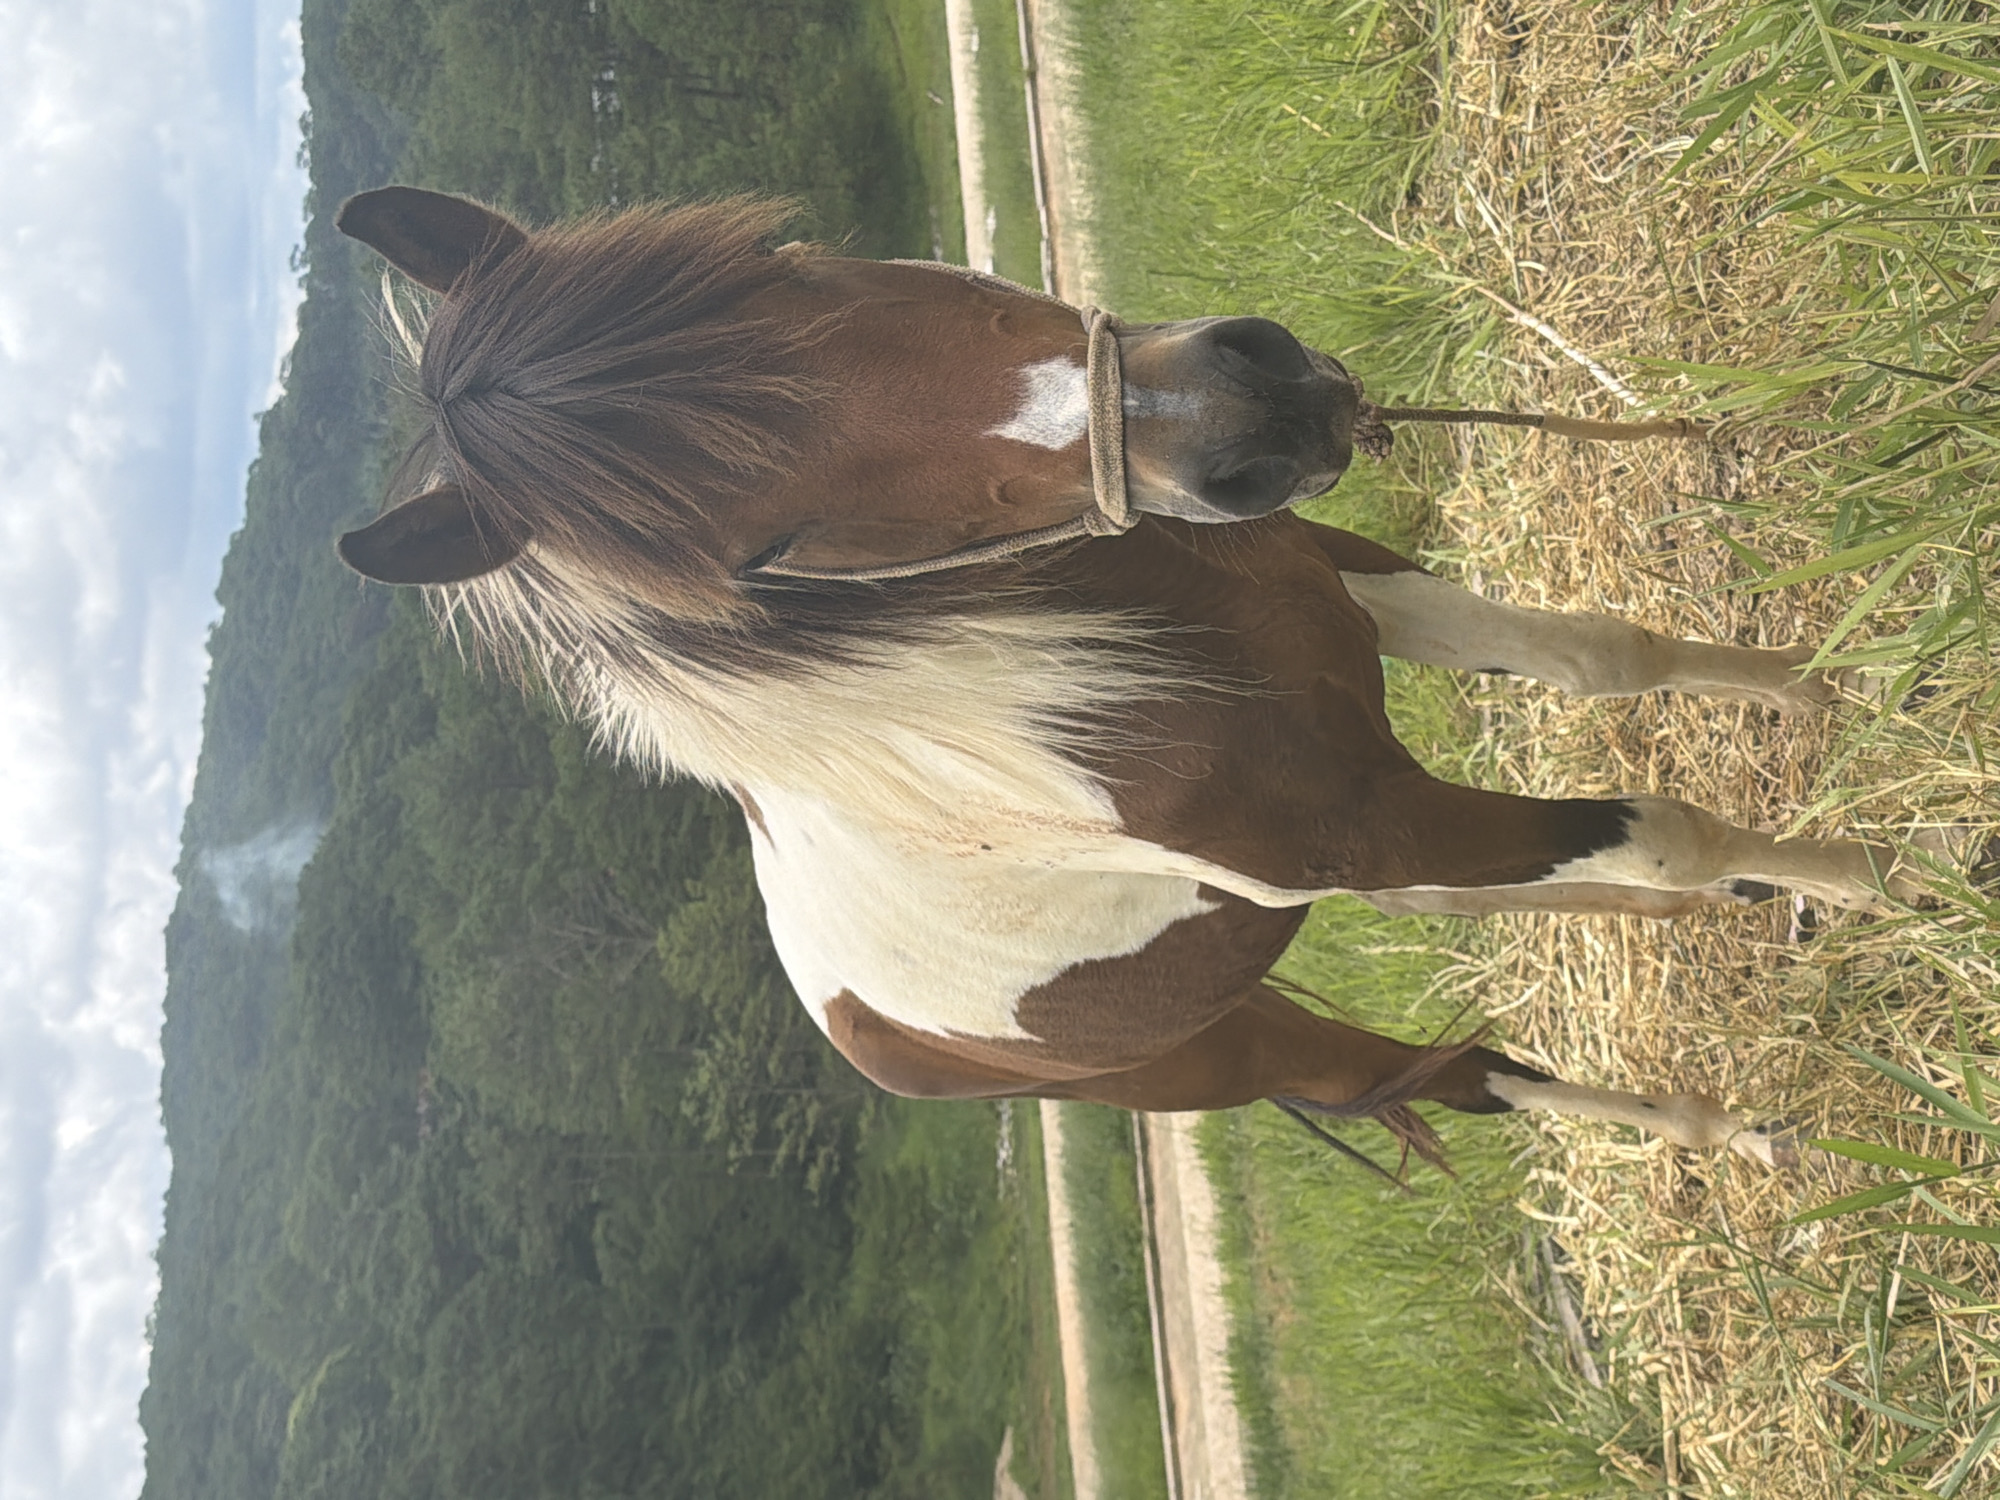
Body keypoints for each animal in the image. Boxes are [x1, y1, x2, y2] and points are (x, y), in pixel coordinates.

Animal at [332, 185, 1927, 1172]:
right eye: (773, 547)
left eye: (788, 269)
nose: (1246, 408)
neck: (1100, 676)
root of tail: (859, 1027)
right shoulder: (1382, 827)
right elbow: (1658, 829)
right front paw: (1881, 877)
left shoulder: (1347, 591)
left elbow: (1607, 658)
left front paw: (1815, 691)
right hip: (1229, 1050)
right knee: (1464, 1070)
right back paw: (1736, 1123)